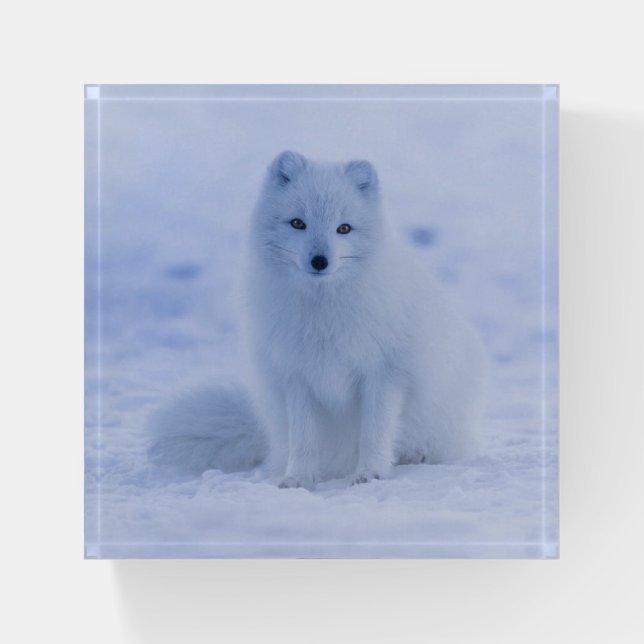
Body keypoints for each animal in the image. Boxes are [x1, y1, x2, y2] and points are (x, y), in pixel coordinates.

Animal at [149, 151, 487, 489]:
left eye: (344, 228)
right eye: (298, 223)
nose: (320, 261)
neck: (322, 314)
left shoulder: (384, 373)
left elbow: (374, 433)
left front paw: (370, 474)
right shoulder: (296, 376)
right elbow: (304, 439)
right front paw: (297, 478)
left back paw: (415, 455)